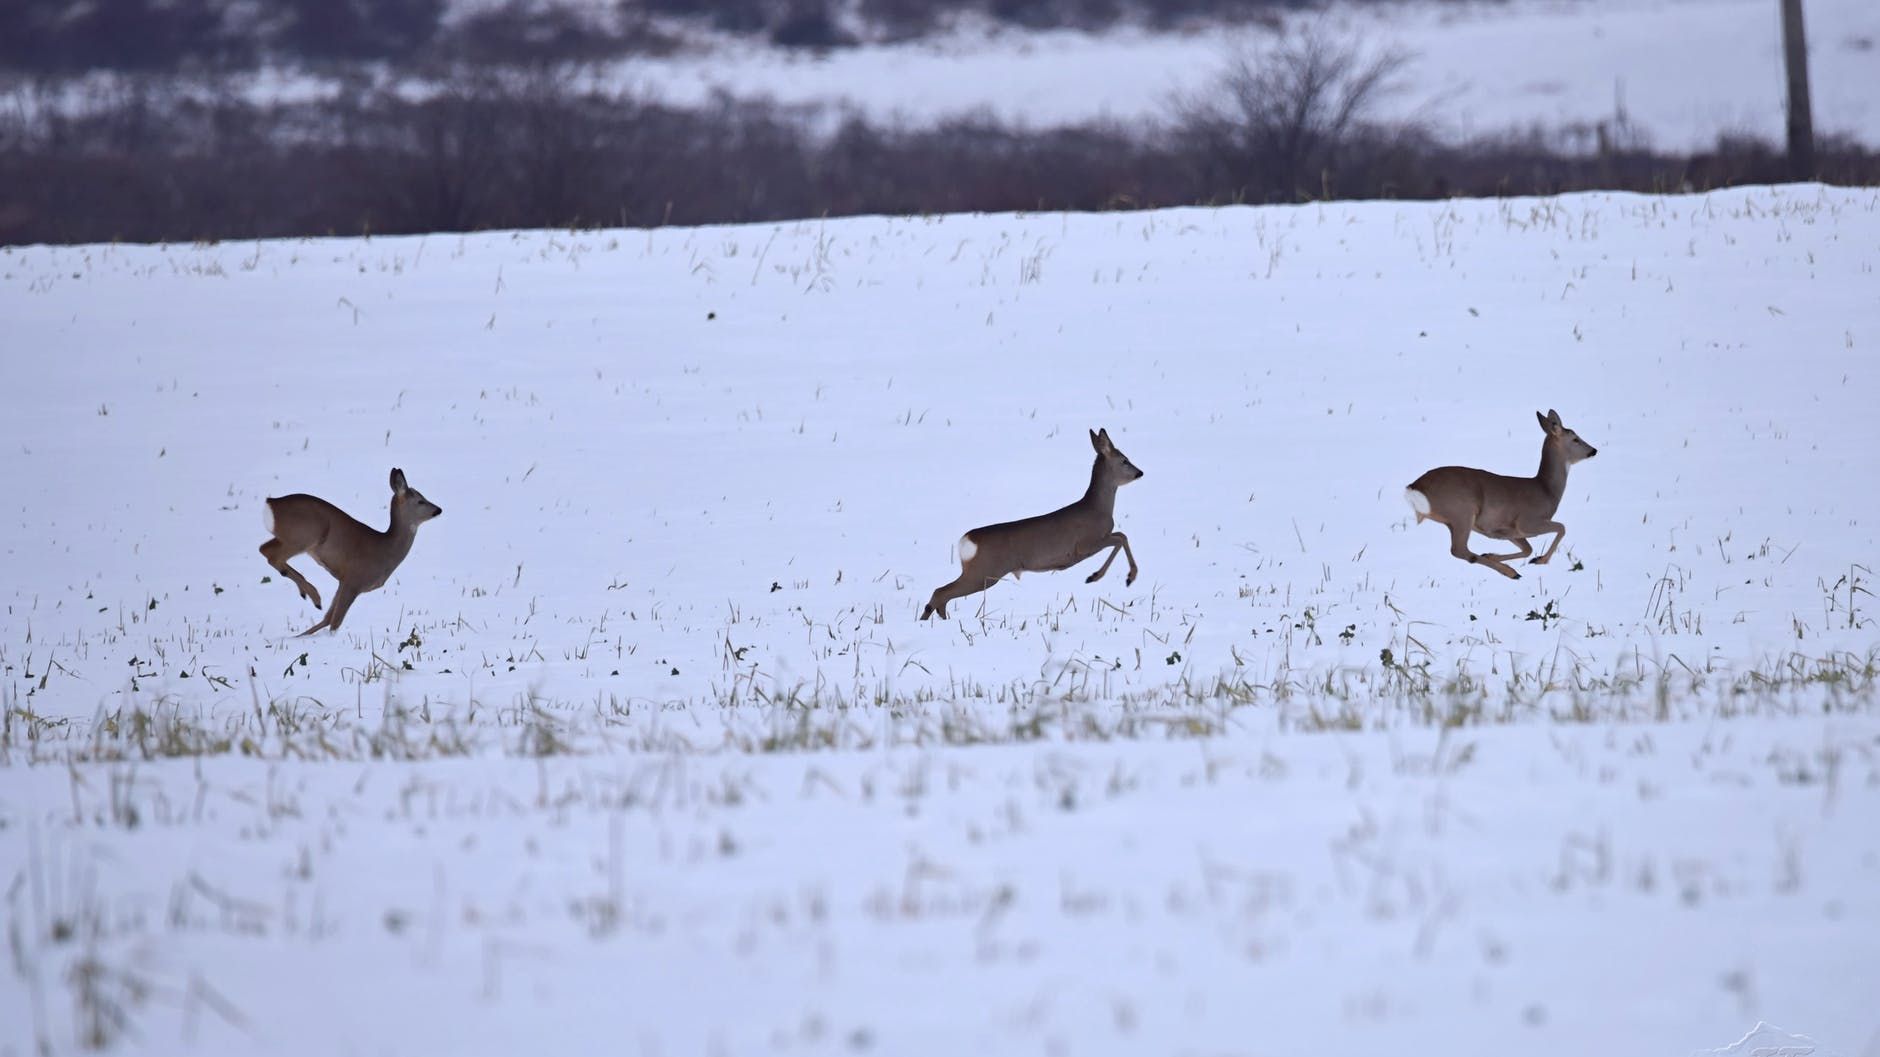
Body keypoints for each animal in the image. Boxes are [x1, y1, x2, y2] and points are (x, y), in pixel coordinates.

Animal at [261, 462, 443, 628]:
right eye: (420, 501)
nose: (438, 510)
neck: (386, 549)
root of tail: (272, 503)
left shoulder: (343, 581)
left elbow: (325, 621)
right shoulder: (354, 579)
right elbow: (334, 623)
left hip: (289, 537)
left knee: (264, 549)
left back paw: (310, 596)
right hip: (304, 536)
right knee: (272, 555)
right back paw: (314, 596)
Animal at [917, 423, 1135, 616]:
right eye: (1124, 460)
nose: (1139, 472)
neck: (1098, 508)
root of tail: (966, 540)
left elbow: (1121, 535)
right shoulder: (1084, 544)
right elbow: (1120, 538)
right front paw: (1107, 577)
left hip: (979, 572)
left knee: (941, 595)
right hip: (983, 573)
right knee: (941, 592)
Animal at [1406, 410, 1594, 575]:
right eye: (1575, 439)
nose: (1594, 450)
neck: (1546, 490)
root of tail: (1415, 486)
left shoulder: (1510, 530)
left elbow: (1528, 549)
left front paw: (1492, 555)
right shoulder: (1528, 521)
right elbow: (1561, 527)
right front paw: (1540, 560)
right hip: (1462, 511)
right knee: (1459, 550)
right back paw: (1511, 573)